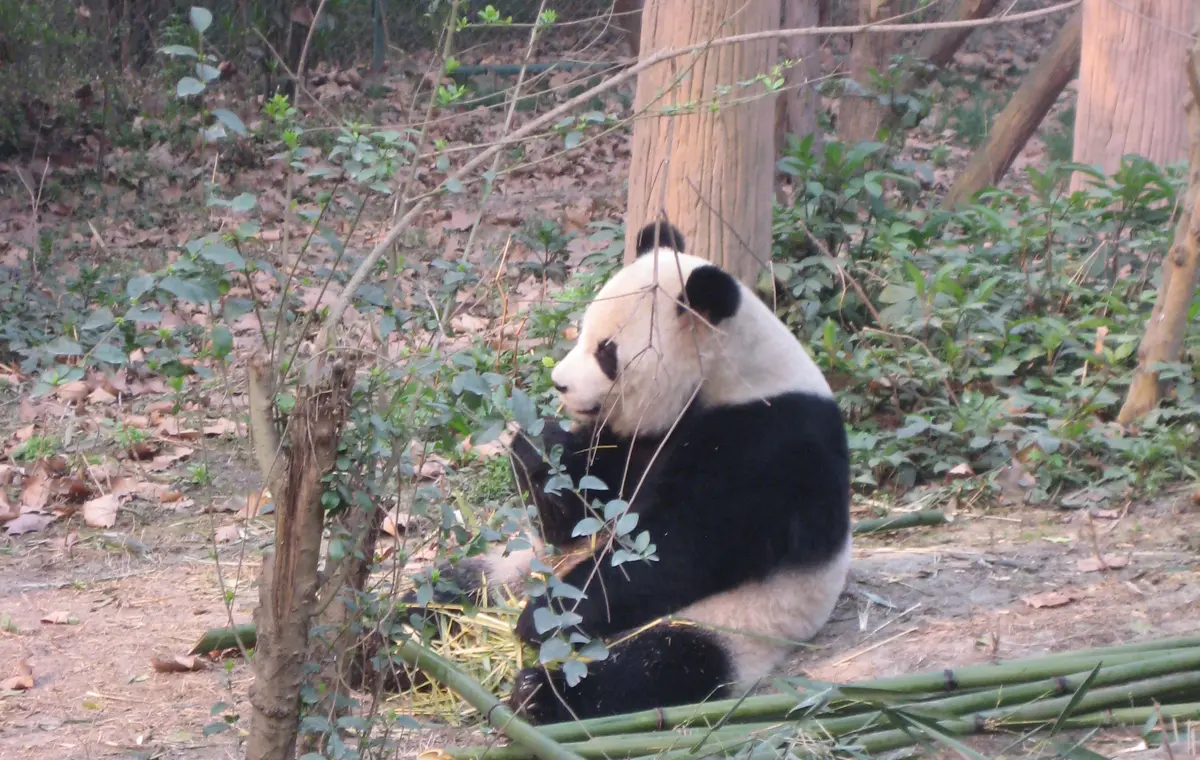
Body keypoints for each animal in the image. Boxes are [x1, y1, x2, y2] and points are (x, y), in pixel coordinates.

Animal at [404, 219, 852, 724]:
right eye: (581, 330)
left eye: (607, 352)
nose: (559, 383)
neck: (729, 377)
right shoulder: (636, 439)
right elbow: (583, 506)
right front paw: (537, 448)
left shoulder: (770, 444)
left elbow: (683, 548)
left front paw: (543, 616)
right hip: (514, 567)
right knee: (449, 590)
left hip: (738, 621)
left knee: (660, 663)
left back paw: (539, 691)